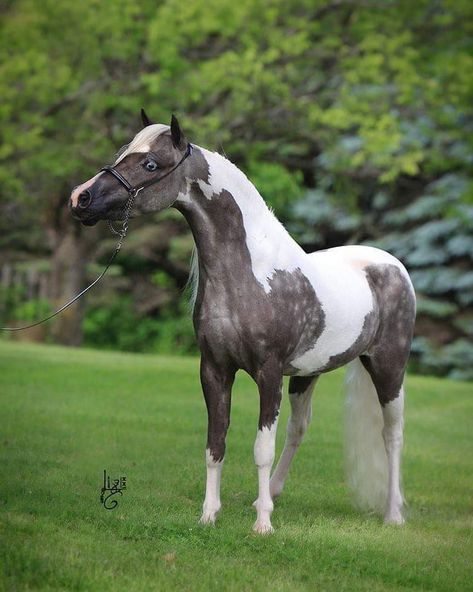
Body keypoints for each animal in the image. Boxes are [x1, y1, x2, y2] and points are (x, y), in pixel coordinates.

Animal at [69, 113, 412, 536]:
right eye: (123, 154)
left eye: (150, 164)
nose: (80, 198)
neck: (253, 275)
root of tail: (390, 264)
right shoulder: (215, 370)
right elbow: (215, 443)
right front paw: (209, 515)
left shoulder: (269, 374)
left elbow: (261, 449)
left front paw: (262, 524)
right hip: (307, 374)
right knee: (299, 429)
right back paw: (274, 494)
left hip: (389, 368)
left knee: (392, 434)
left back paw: (393, 513)